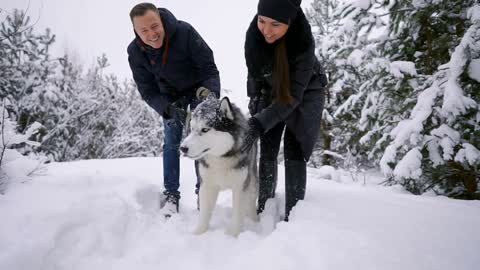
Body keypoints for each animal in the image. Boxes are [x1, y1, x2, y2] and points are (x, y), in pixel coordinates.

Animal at [179, 97, 256, 236]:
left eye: (205, 129)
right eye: (192, 128)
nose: (182, 148)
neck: (221, 159)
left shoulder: (240, 187)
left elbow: (237, 215)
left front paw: (232, 236)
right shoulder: (207, 185)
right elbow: (204, 214)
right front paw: (198, 234)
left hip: (252, 184)